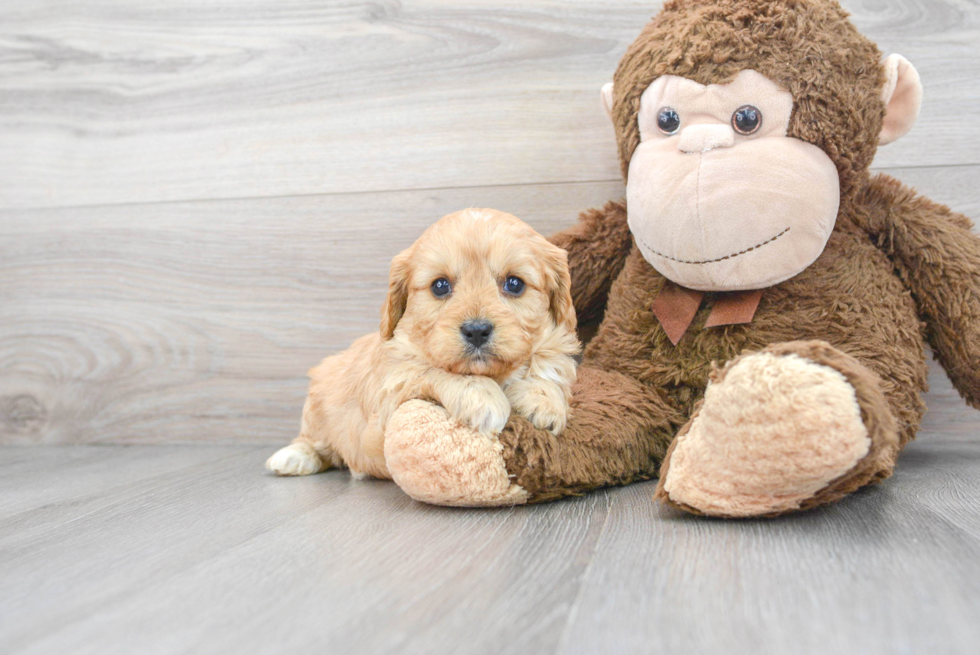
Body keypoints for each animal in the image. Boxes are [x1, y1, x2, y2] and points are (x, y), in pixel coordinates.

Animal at [264, 210, 580, 482]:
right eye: (440, 286)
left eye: (514, 284)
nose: (477, 331)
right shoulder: (391, 391)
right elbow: (432, 370)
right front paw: (483, 397)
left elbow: (549, 363)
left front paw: (543, 402)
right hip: (317, 408)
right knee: (315, 443)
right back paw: (293, 457)